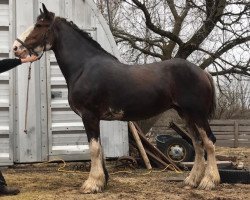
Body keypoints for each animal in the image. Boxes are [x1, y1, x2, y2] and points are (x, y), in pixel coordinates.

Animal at [12, 3, 220, 193]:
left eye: (39, 25)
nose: (15, 48)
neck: (84, 67)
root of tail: (203, 72)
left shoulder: (89, 115)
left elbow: (94, 149)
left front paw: (92, 184)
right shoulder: (95, 118)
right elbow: (100, 148)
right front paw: (102, 182)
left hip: (197, 114)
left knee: (209, 142)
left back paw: (209, 181)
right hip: (186, 115)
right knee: (198, 144)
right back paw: (191, 181)